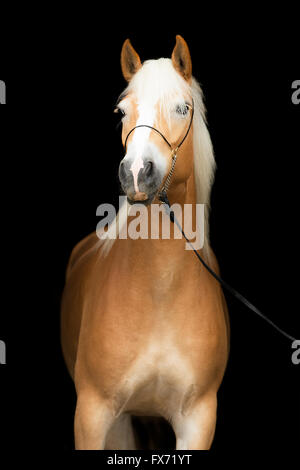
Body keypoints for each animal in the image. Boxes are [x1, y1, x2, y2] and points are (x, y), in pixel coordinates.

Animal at [60, 35, 230, 450]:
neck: (159, 293)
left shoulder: (198, 419)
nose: (137, 172)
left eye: (182, 107)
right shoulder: (95, 414)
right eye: (121, 112)